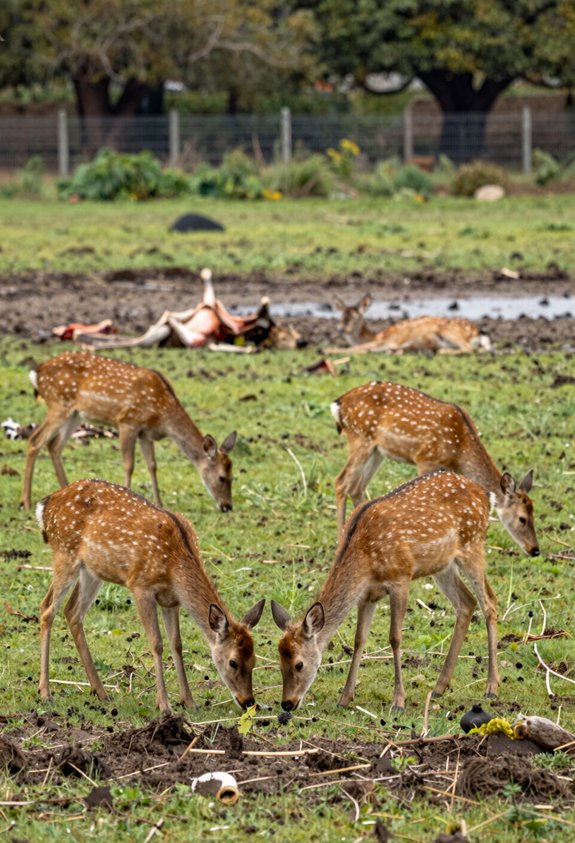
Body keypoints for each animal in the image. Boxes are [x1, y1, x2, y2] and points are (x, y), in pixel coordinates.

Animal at [19, 350, 237, 512]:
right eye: (221, 477)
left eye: (233, 476)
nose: (227, 506)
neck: (162, 413)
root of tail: (36, 373)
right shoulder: (127, 422)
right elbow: (128, 465)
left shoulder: (145, 433)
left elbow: (152, 466)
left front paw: (159, 504)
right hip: (59, 403)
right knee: (35, 439)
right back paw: (25, 502)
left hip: (75, 414)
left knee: (54, 445)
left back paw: (66, 490)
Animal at [36, 479, 265, 713]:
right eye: (233, 662)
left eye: (254, 660)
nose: (248, 701)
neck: (174, 566)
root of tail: (45, 505)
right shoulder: (140, 586)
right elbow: (156, 643)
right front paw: (164, 705)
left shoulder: (171, 601)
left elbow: (177, 644)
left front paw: (189, 701)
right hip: (65, 554)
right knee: (47, 608)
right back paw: (45, 692)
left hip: (92, 570)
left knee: (72, 611)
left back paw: (101, 692)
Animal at [272, 471, 499, 712]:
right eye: (279, 661)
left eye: (299, 664)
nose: (287, 703)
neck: (365, 560)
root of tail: (486, 496)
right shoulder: (366, 596)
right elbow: (359, 640)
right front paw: (344, 698)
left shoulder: (401, 577)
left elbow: (395, 637)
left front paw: (398, 700)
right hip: (442, 565)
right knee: (466, 602)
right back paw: (439, 687)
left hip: (472, 545)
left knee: (489, 601)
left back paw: (491, 687)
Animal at [331, 380, 539, 557]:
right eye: (522, 518)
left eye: (533, 513)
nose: (535, 550)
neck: (460, 449)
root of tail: (338, 404)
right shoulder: (425, 458)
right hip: (360, 438)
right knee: (341, 482)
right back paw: (341, 540)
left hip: (376, 450)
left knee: (357, 486)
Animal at [334, 293, 491, 353]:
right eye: (340, 316)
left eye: (355, 317)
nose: (341, 329)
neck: (374, 336)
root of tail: (477, 331)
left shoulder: (386, 342)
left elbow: (354, 349)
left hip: (449, 331)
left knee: (469, 348)